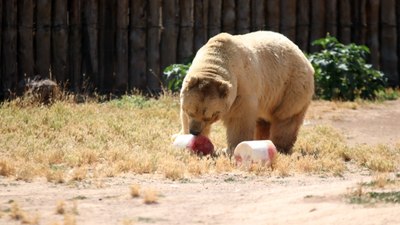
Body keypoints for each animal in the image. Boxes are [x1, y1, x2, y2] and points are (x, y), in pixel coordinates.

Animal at [179, 30, 316, 156]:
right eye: (190, 111)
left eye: (210, 116)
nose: (195, 131)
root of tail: (304, 57)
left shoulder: (242, 86)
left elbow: (240, 118)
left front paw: (232, 148)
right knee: (263, 121)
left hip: (291, 86)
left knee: (286, 117)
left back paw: (280, 146)